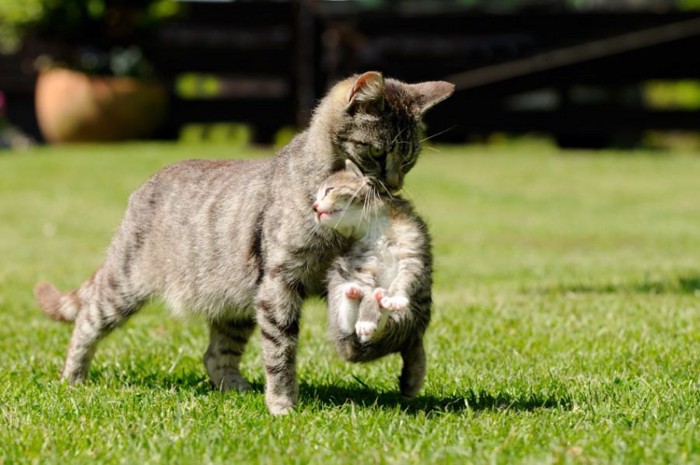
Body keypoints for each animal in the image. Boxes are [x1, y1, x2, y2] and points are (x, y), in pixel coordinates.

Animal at [314, 160, 432, 396]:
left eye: (329, 190)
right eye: (316, 196)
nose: (314, 206)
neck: (373, 224)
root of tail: (412, 338)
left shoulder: (412, 253)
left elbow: (404, 279)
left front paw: (393, 297)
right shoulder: (364, 265)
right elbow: (367, 291)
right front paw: (367, 315)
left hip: (408, 316)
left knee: (381, 332)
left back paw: (381, 307)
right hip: (338, 280)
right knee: (351, 326)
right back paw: (354, 298)